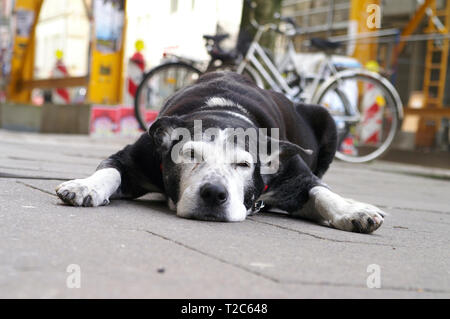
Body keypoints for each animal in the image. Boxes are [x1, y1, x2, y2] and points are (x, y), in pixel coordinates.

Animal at [56, 72, 384, 232]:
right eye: (190, 155)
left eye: (243, 164)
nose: (214, 193)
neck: (224, 110)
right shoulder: (137, 157)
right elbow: (111, 170)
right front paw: (86, 186)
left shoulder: (294, 175)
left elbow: (320, 192)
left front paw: (352, 211)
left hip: (327, 120)